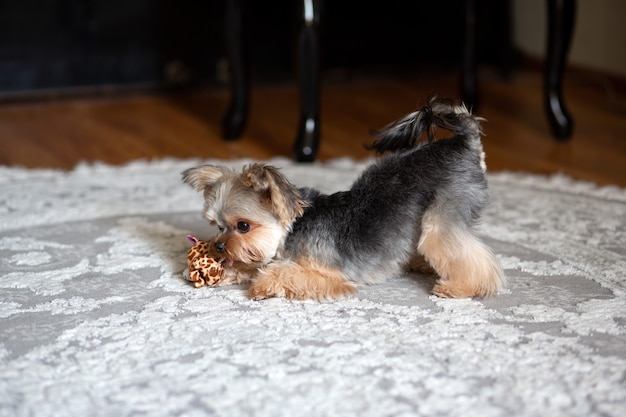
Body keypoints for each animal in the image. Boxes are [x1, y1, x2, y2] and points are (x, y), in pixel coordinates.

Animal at [183, 98, 504, 300]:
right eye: (218, 226)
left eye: (243, 226)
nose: (218, 246)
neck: (295, 229)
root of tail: (463, 141)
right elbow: (253, 264)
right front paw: (222, 272)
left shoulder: (330, 277)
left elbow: (282, 273)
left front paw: (262, 285)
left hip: (443, 214)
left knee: (464, 253)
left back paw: (462, 288)